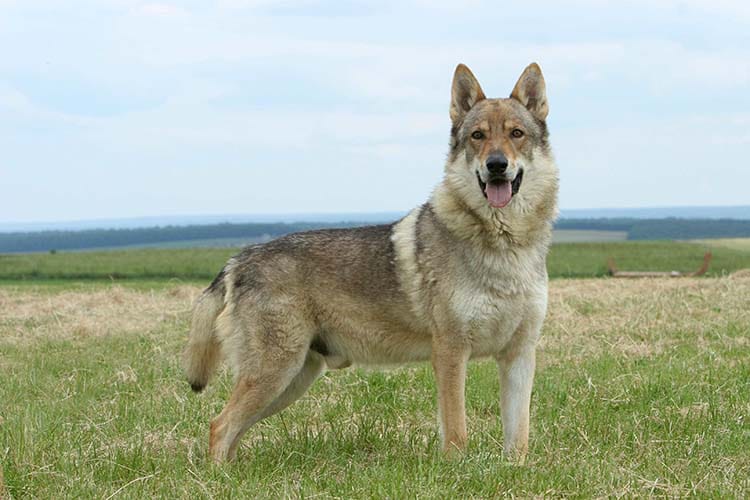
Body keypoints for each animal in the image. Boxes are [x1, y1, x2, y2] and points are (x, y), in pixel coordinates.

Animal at [184, 63, 560, 464]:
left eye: (516, 134)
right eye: (478, 136)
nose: (496, 165)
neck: (506, 247)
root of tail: (238, 259)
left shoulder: (520, 355)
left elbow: (518, 435)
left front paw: (515, 468)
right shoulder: (451, 351)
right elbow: (457, 432)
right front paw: (458, 468)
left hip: (291, 381)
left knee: (231, 431)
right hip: (275, 375)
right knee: (219, 426)